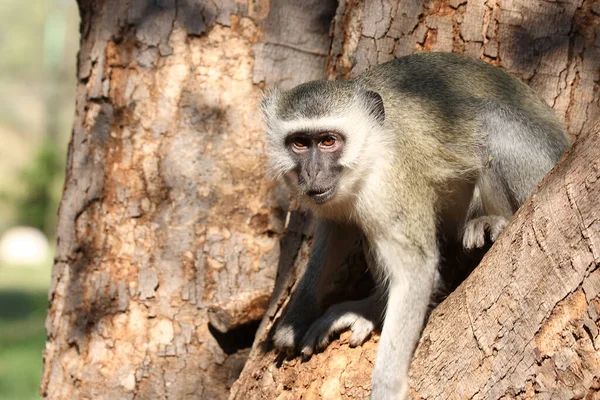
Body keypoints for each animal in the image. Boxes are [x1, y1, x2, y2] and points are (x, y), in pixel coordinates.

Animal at [262, 51, 568, 398]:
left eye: (328, 141)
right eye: (300, 144)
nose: (312, 173)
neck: (371, 148)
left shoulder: (390, 184)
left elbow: (416, 270)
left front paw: (387, 386)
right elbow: (335, 226)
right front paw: (295, 318)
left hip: (542, 169)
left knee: (491, 121)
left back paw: (495, 219)